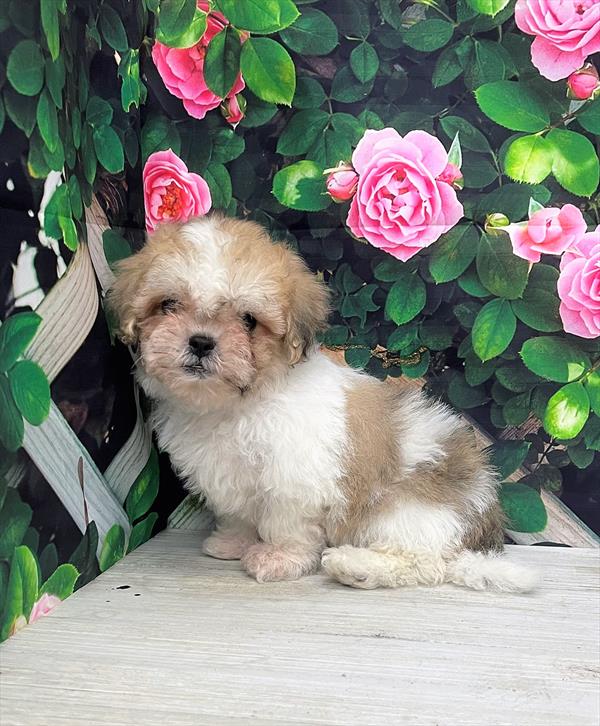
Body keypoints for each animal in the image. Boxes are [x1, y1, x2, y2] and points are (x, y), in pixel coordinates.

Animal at [110, 215, 536, 592]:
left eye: (248, 321)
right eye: (168, 305)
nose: (200, 342)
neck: (237, 404)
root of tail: (477, 533)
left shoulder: (294, 476)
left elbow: (286, 522)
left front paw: (278, 558)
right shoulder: (228, 474)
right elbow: (239, 513)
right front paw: (233, 542)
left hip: (407, 510)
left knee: (425, 563)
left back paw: (355, 567)